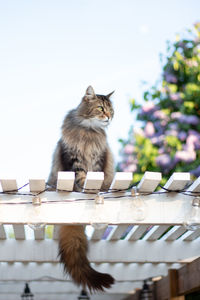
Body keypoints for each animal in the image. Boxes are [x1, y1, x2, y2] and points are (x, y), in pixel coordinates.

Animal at [47, 85, 115, 292]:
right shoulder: (73, 157)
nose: (109, 117)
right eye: (101, 108)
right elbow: (81, 177)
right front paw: (85, 188)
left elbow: (96, 177)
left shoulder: (99, 158)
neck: (89, 130)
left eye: (112, 110)